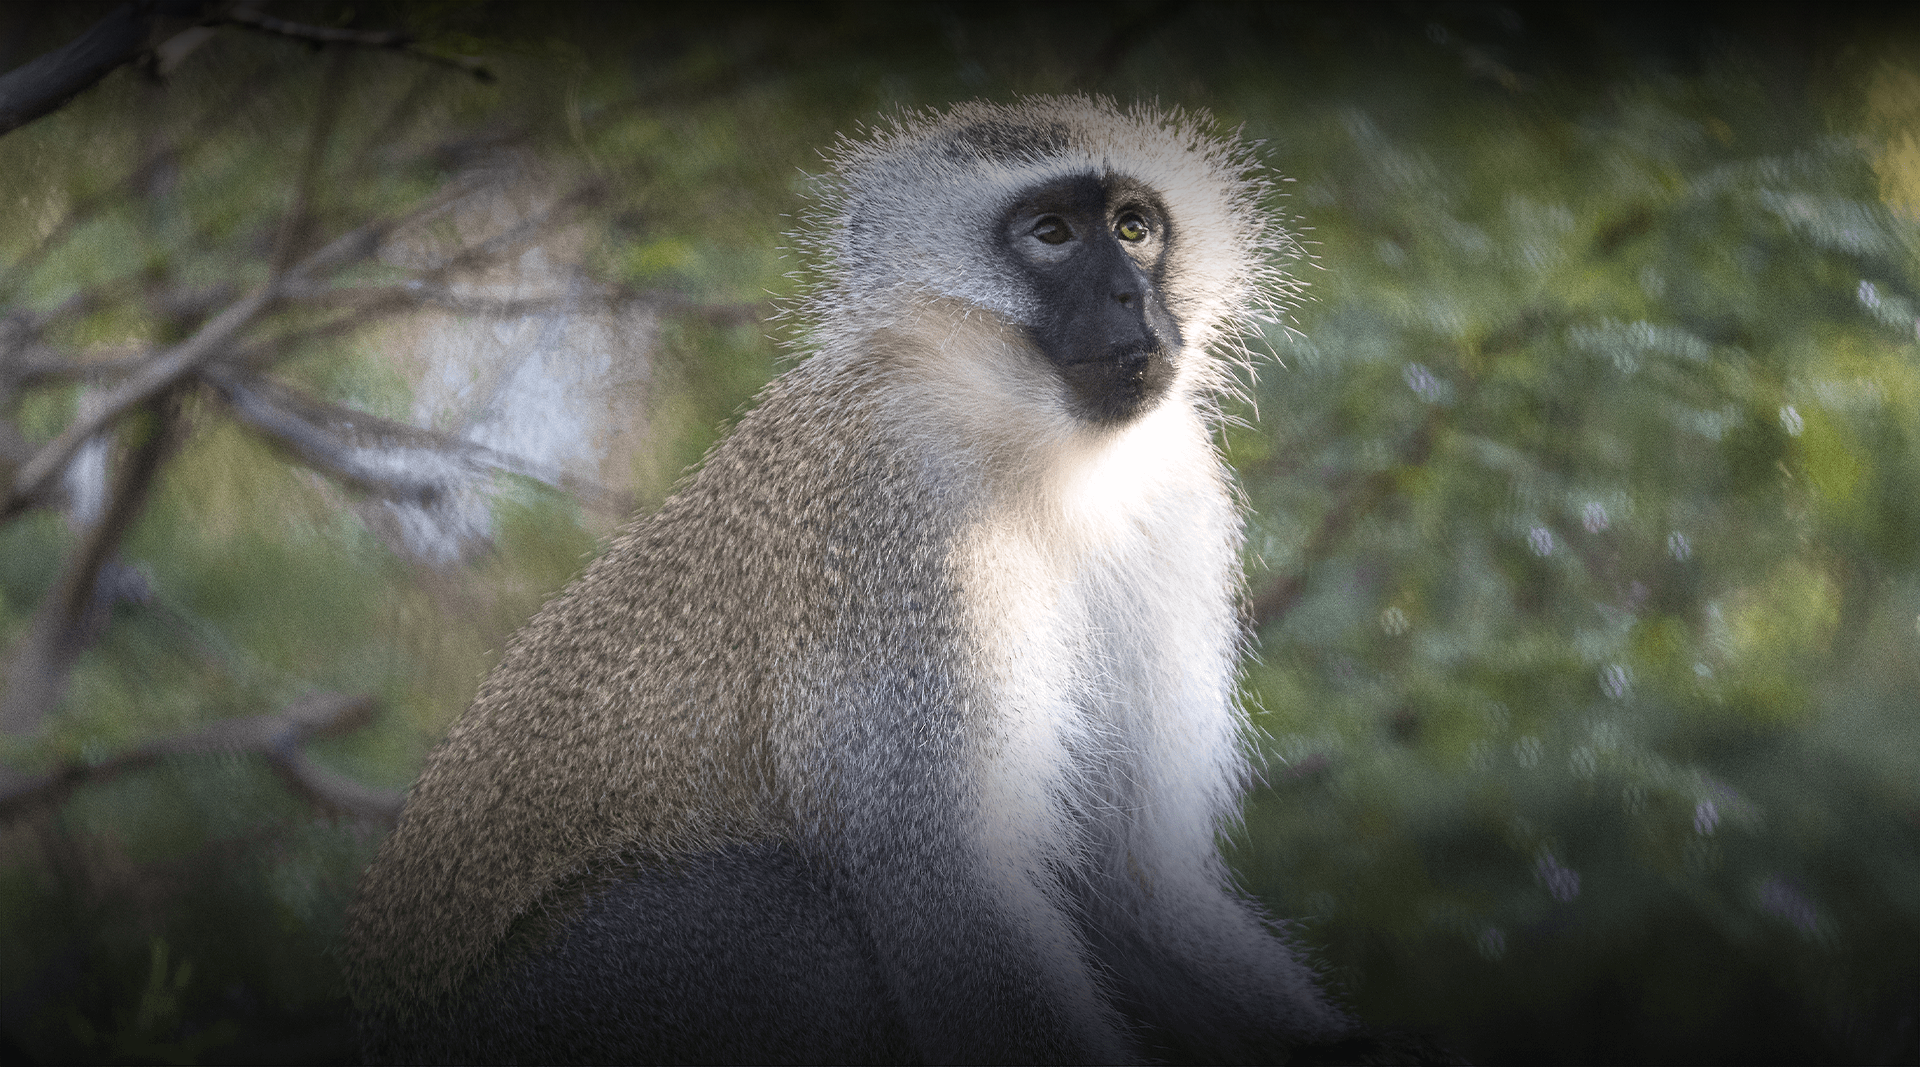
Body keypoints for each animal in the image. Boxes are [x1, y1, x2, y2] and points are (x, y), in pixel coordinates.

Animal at [341, 95, 1361, 1065]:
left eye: (1136, 227)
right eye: (1051, 233)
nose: (1129, 297)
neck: (1030, 447)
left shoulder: (1176, 503)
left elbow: (1130, 885)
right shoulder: (894, 522)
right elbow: (951, 905)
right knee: (796, 923)